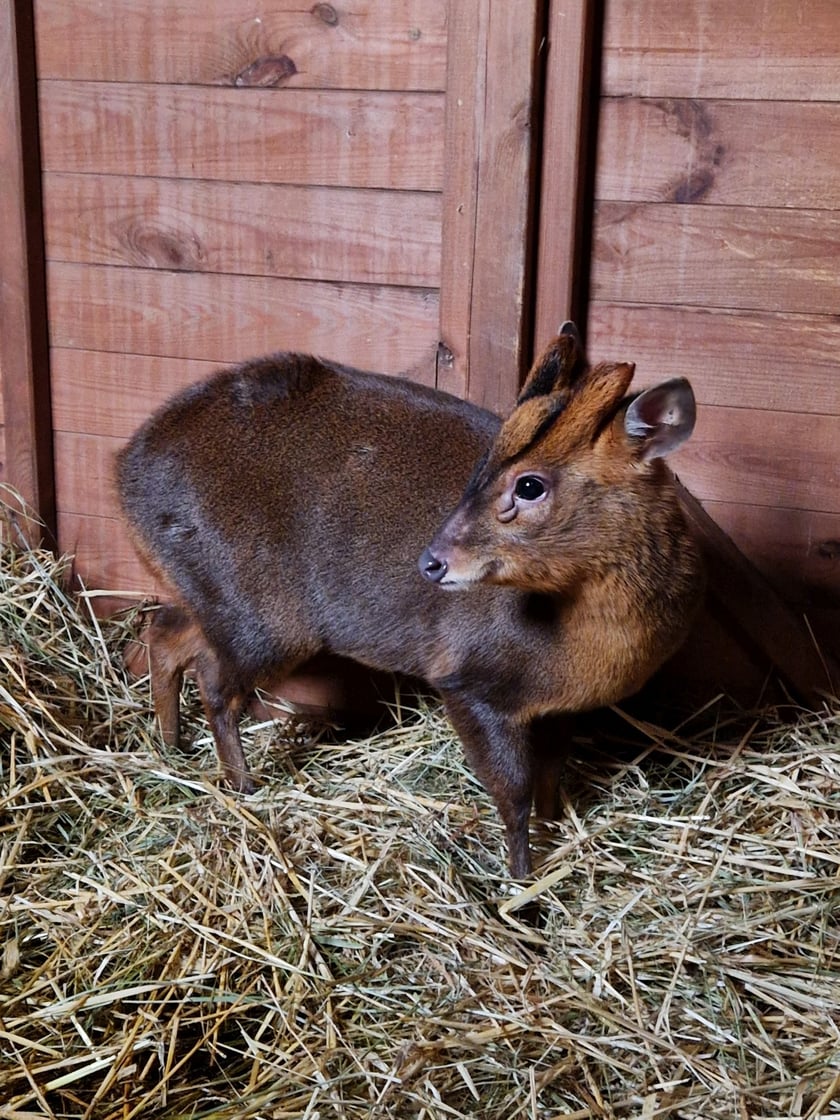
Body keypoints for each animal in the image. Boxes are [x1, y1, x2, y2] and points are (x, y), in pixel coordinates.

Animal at [115, 322, 698, 873]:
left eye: (529, 485)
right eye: (480, 470)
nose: (431, 562)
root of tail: (125, 472)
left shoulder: (559, 706)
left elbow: (551, 780)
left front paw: (555, 839)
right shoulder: (467, 680)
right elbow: (513, 795)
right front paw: (521, 886)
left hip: (215, 596)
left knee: (166, 634)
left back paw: (171, 745)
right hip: (262, 614)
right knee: (215, 683)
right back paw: (242, 786)